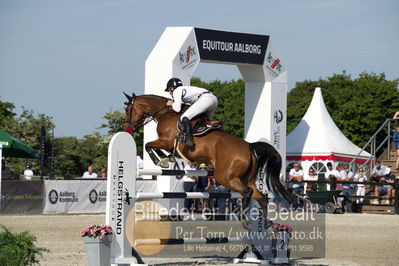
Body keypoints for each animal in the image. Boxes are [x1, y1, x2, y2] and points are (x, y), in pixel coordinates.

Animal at [124, 93, 294, 229]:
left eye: (127, 110)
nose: (127, 127)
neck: (166, 113)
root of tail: (249, 146)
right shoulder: (166, 143)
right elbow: (153, 147)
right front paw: (167, 159)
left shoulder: (165, 141)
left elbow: (148, 145)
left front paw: (162, 161)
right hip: (248, 178)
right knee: (262, 196)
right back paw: (266, 224)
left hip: (225, 177)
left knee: (247, 192)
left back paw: (243, 219)